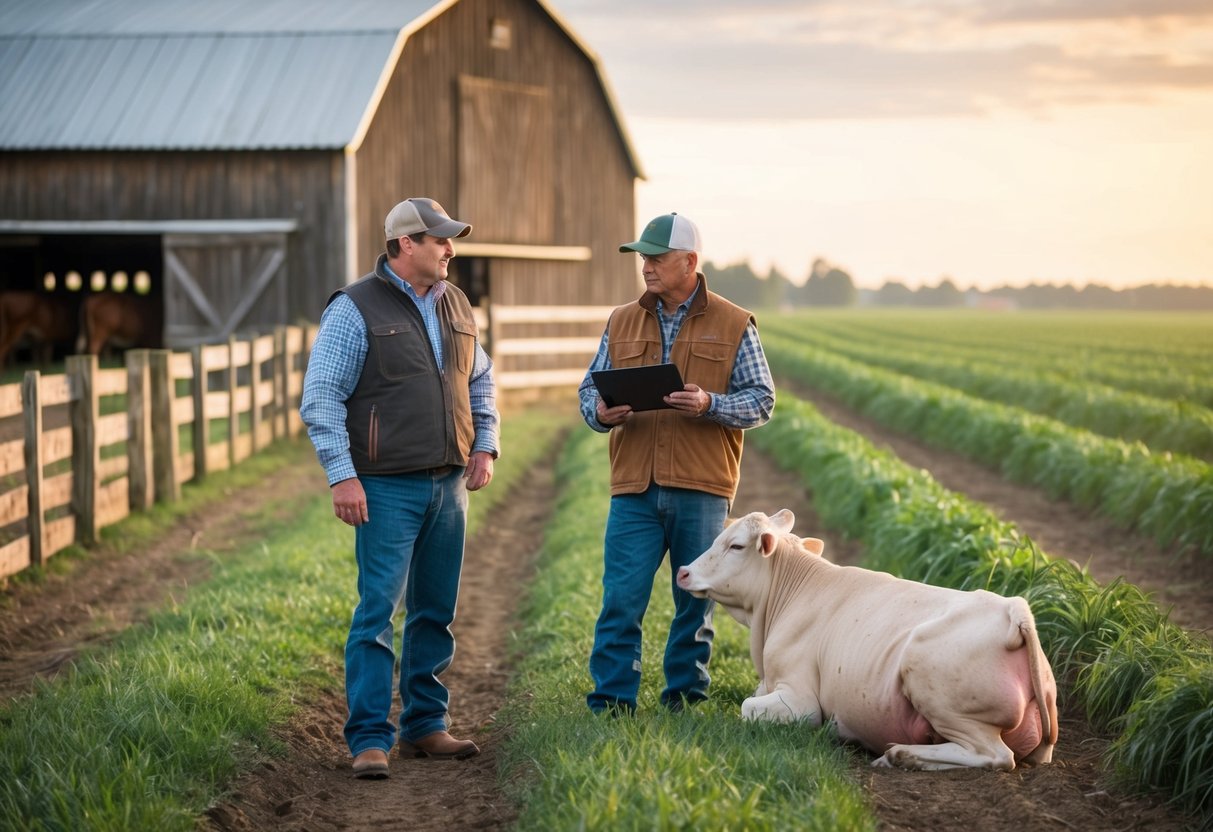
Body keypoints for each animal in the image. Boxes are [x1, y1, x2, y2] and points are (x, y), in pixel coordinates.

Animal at [679, 511, 1057, 771]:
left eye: (736, 545)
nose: (683, 571)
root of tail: (1013, 609)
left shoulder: (801, 700)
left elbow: (747, 707)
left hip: (938, 690)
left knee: (996, 756)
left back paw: (902, 754)